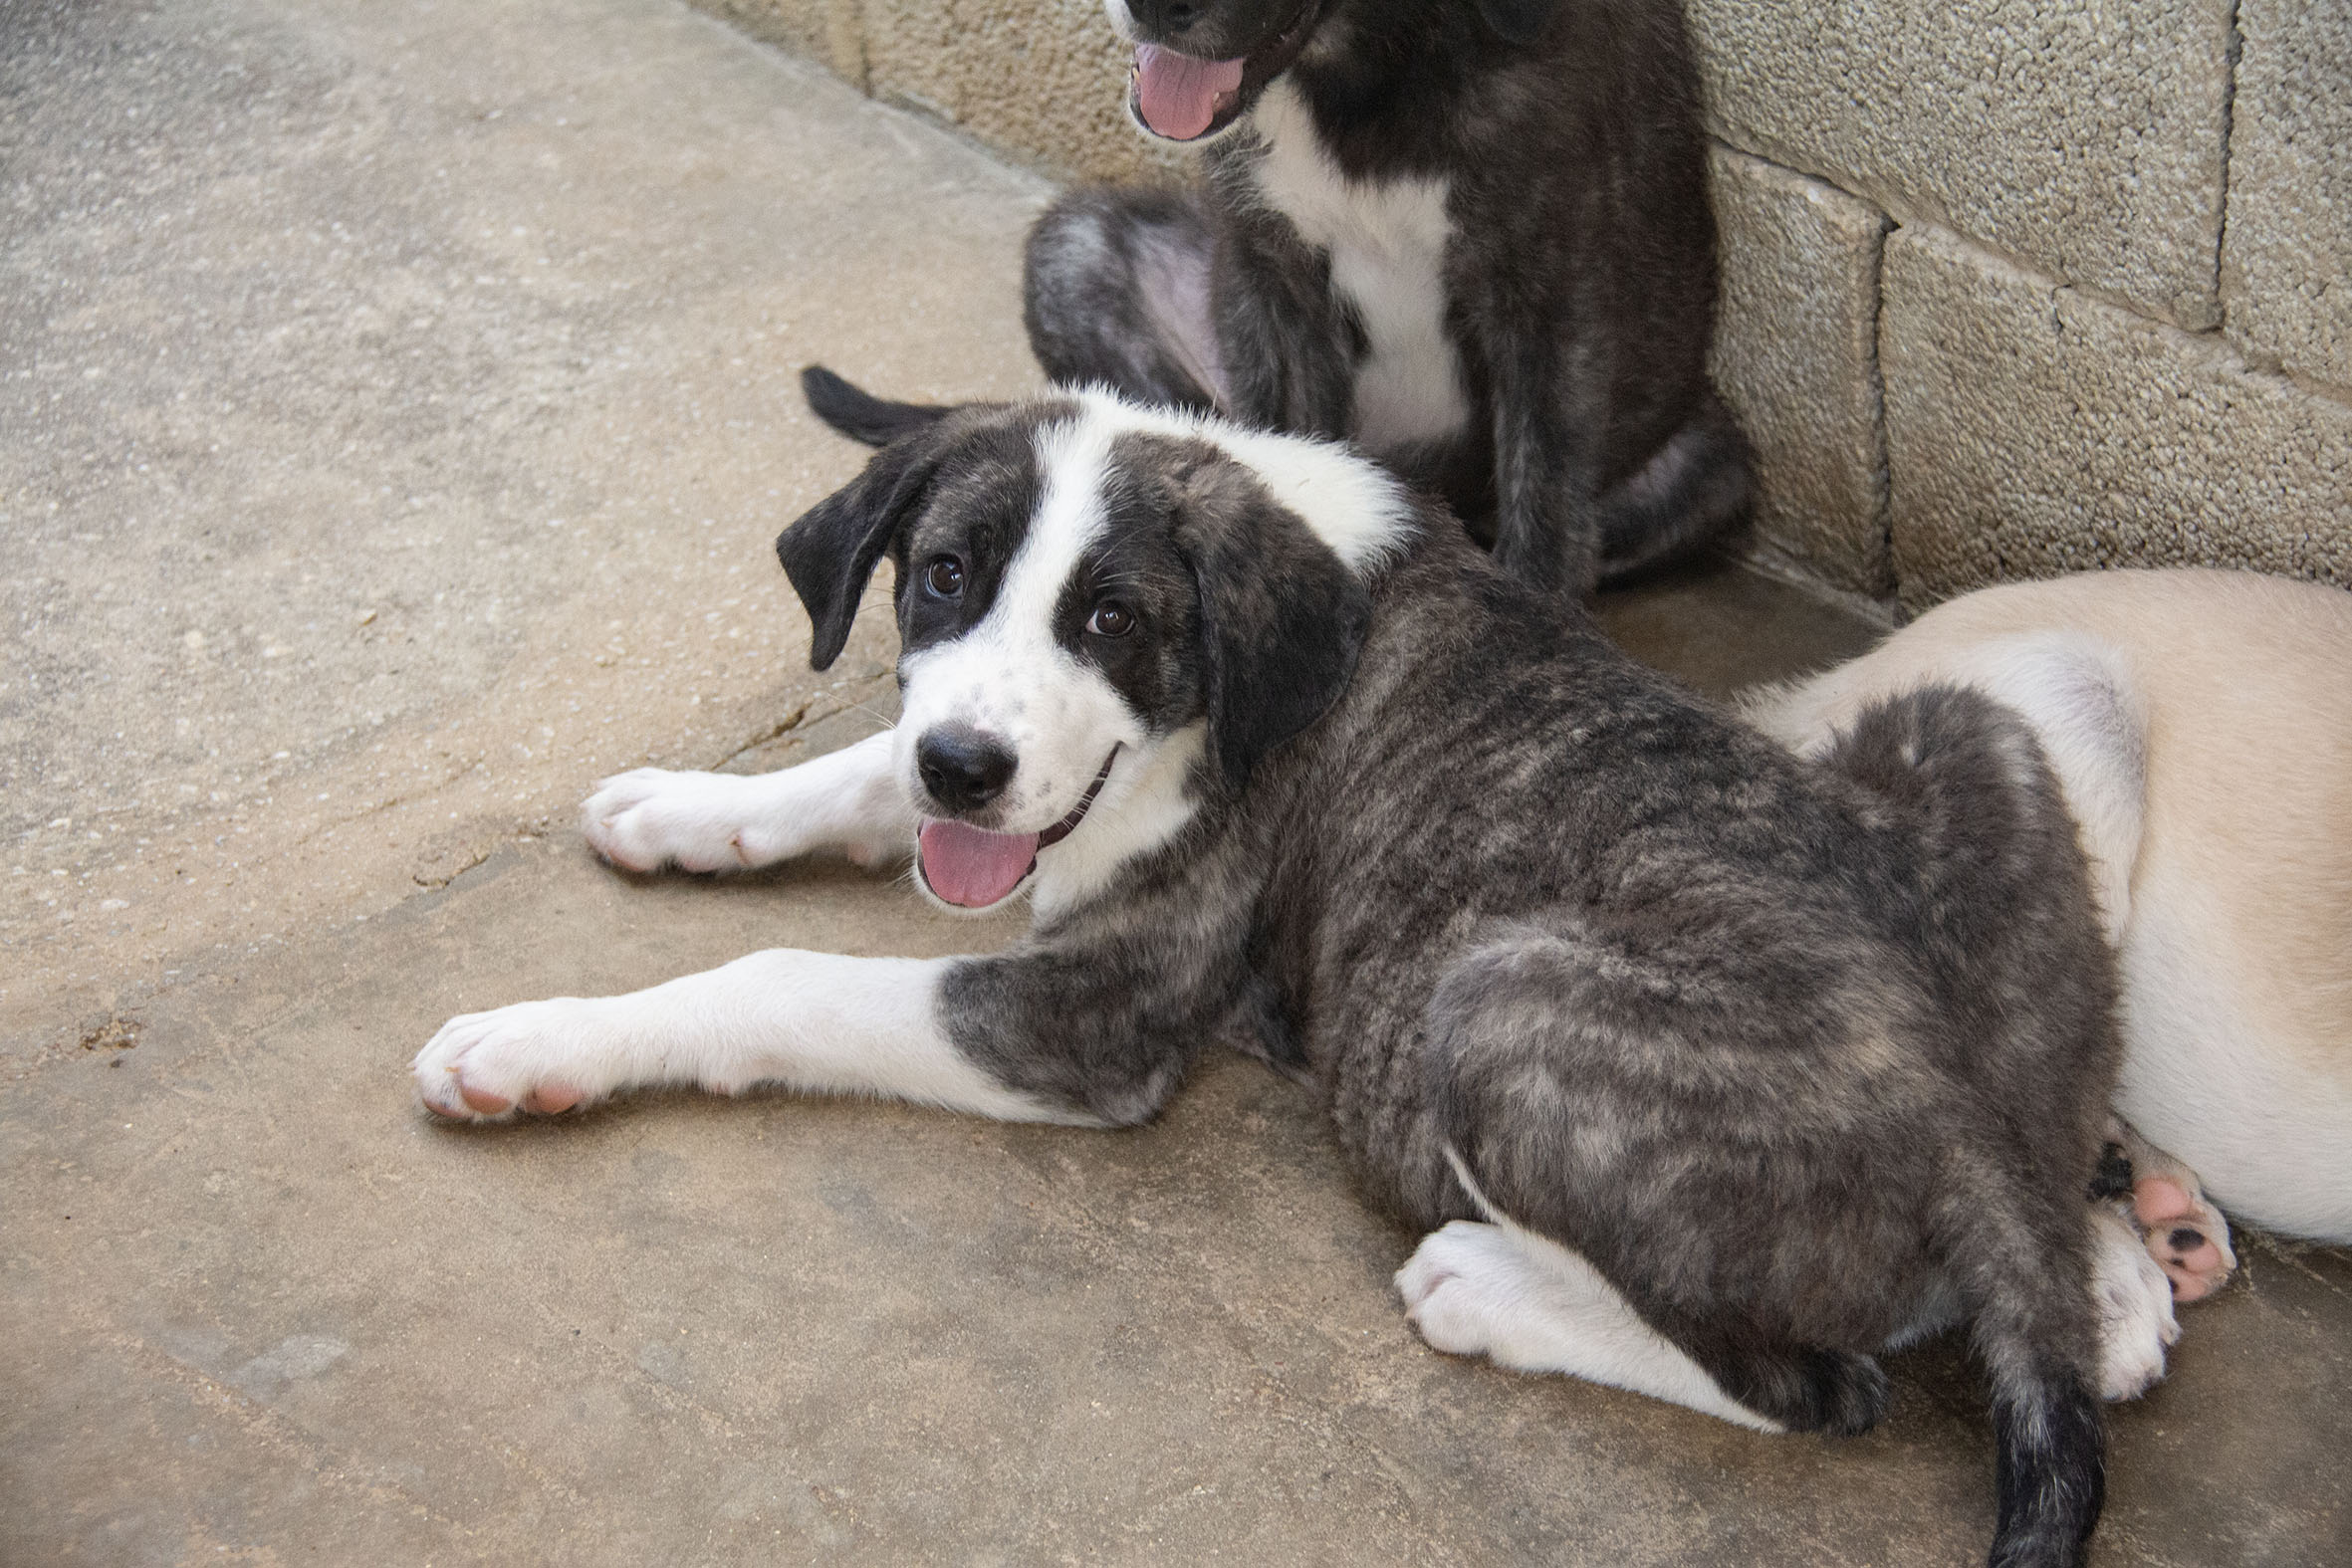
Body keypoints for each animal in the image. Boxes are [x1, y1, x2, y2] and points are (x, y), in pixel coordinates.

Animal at [414, 392, 2154, 1567]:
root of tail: (1969, 1139)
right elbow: (859, 770)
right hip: (1967, 732)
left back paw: (1496, 1288)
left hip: (1487, 1001)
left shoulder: (1090, 1014)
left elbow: (784, 970)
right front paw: (685, 805)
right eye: (942, 576)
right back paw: (2124, 1270)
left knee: (1814, 1382)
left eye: (1113, 616)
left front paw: (537, 1037)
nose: (969, 764)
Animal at [990, 0, 1753, 595]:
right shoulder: (1275, 284)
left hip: (1711, 466)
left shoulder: (1552, 310)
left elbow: (1545, 513)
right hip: (1075, 252)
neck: (1372, 68)